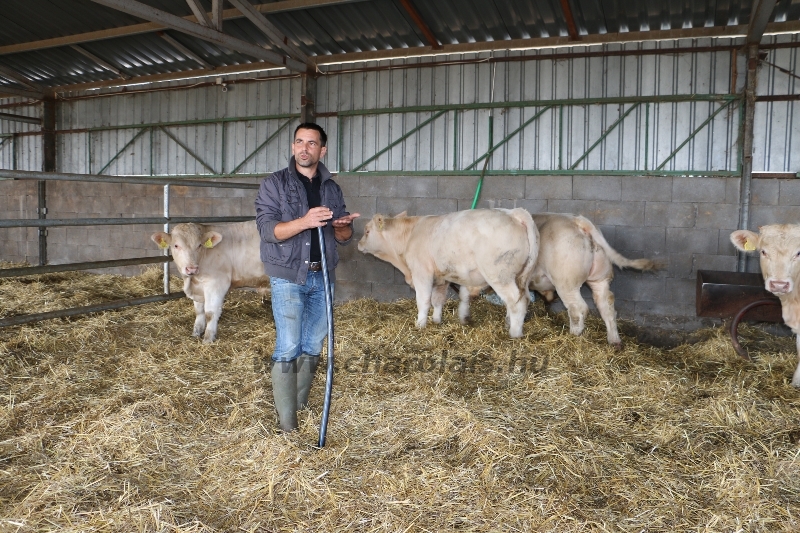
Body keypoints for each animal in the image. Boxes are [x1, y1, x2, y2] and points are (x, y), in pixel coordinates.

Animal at [360, 208, 540, 336]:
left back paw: (514, 333)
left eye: (367, 231)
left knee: (516, 301)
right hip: (521, 277)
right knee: (521, 298)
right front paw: (436, 320)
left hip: (499, 274)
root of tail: (513, 213)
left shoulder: (421, 272)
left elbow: (423, 300)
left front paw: (420, 324)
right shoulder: (442, 278)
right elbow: (438, 300)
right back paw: (509, 323)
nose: (359, 244)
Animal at [532, 214, 664, 348]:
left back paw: (572, 337)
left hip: (566, 282)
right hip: (600, 278)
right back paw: (615, 342)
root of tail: (578, 220)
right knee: (607, 305)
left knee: (578, 309)